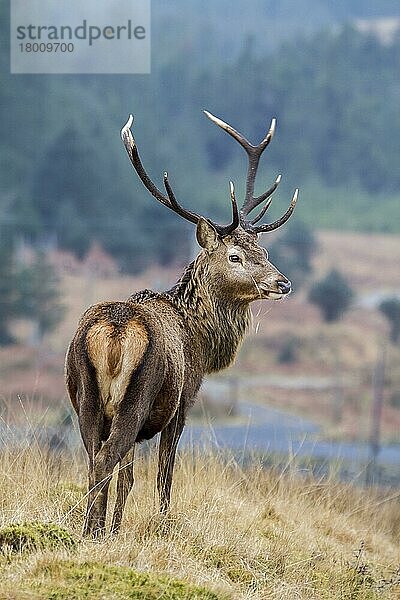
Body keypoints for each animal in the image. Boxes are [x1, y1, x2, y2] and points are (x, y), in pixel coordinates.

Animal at [64, 110, 298, 536]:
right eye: (236, 256)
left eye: (265, 251)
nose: (283, 283)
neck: (201, 341)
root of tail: (115, 331)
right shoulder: (183, 403)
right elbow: (163, 477)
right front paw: (160, 523)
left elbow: (128, 477)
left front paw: (118, 528)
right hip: (137, 398)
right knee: (106, 459)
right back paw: (94, 531)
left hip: (85, 396)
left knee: (94, 460)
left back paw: (92, 528)